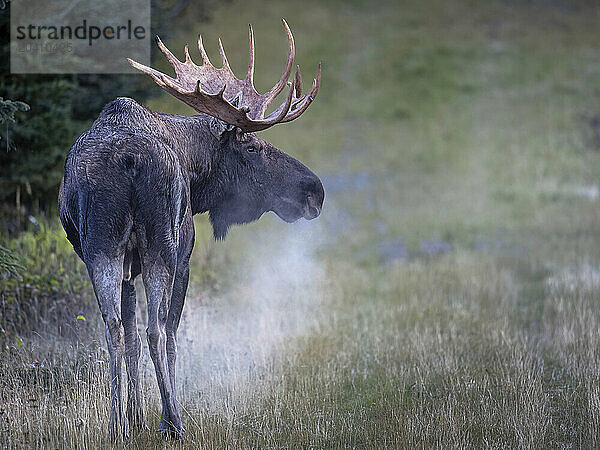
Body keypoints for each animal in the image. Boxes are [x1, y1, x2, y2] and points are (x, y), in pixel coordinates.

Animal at [57, 21, 324, 440]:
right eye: (252, 147)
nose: (315, 191)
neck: (195, 171)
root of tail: (127, 161)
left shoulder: (128, 266)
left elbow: (129, 336)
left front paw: (135, 418)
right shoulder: (184, 256)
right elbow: (169, 335)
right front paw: (161, 418)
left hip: (101, 247)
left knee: (114, 327)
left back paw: (116, 425)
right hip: (161, 246)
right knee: (157, 330)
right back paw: (174, 422)